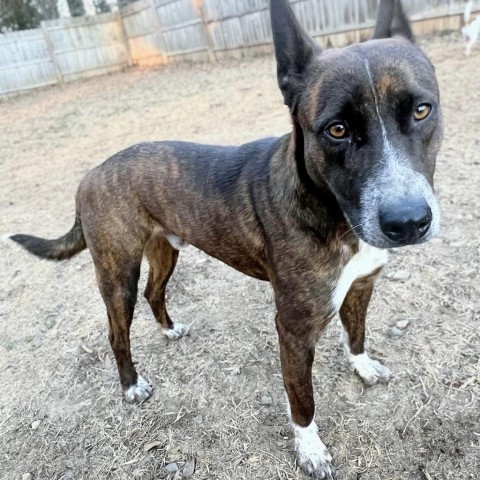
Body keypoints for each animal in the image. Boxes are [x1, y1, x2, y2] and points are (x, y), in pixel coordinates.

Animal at [11, 0, 444, 476]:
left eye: (421, 110)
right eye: (337, 129)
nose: (408, 222)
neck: (330, 210)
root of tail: (89, 175)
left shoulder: (362, 287)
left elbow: (357, 335)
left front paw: (362, 367)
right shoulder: (294, 330)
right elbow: (302, 402)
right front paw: (310, 450)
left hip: (165, 251)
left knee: (154, 291)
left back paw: (169, 330)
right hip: (116, 272)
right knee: (117, 330)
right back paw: (131, 385)